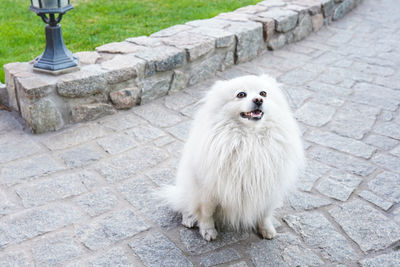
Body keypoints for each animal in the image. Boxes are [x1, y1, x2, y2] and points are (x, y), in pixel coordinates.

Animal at [161, 74, 304, 242]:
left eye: (263, 93)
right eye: (241, 94)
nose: (258, 100)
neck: (250, 139)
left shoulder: (269, 188)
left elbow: (265, 213)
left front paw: (266, 229)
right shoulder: (208, 191)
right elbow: (206, 213)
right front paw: (208, 231)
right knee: (186, 204)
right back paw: (189, 218)